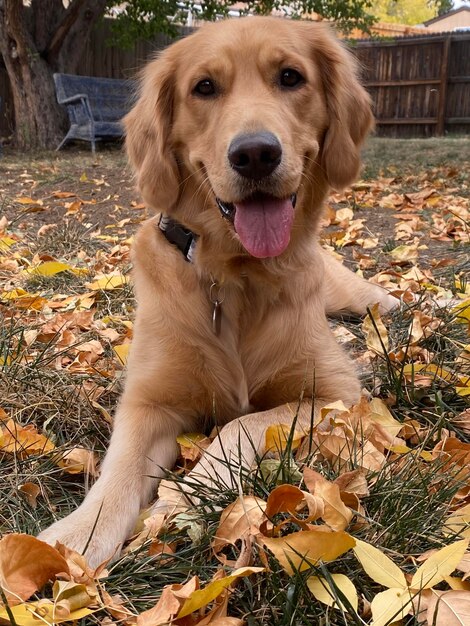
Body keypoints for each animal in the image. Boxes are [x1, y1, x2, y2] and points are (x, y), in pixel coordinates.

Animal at [38, 14, 396, 564]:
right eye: (204, 88)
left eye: (290, 77)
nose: (255, 154)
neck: (235, 273)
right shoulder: (149, 401)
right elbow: (117, 470)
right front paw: (77, 538)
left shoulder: (336, 395)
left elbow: (239, 424)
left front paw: (186, 491)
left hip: (358, 299)